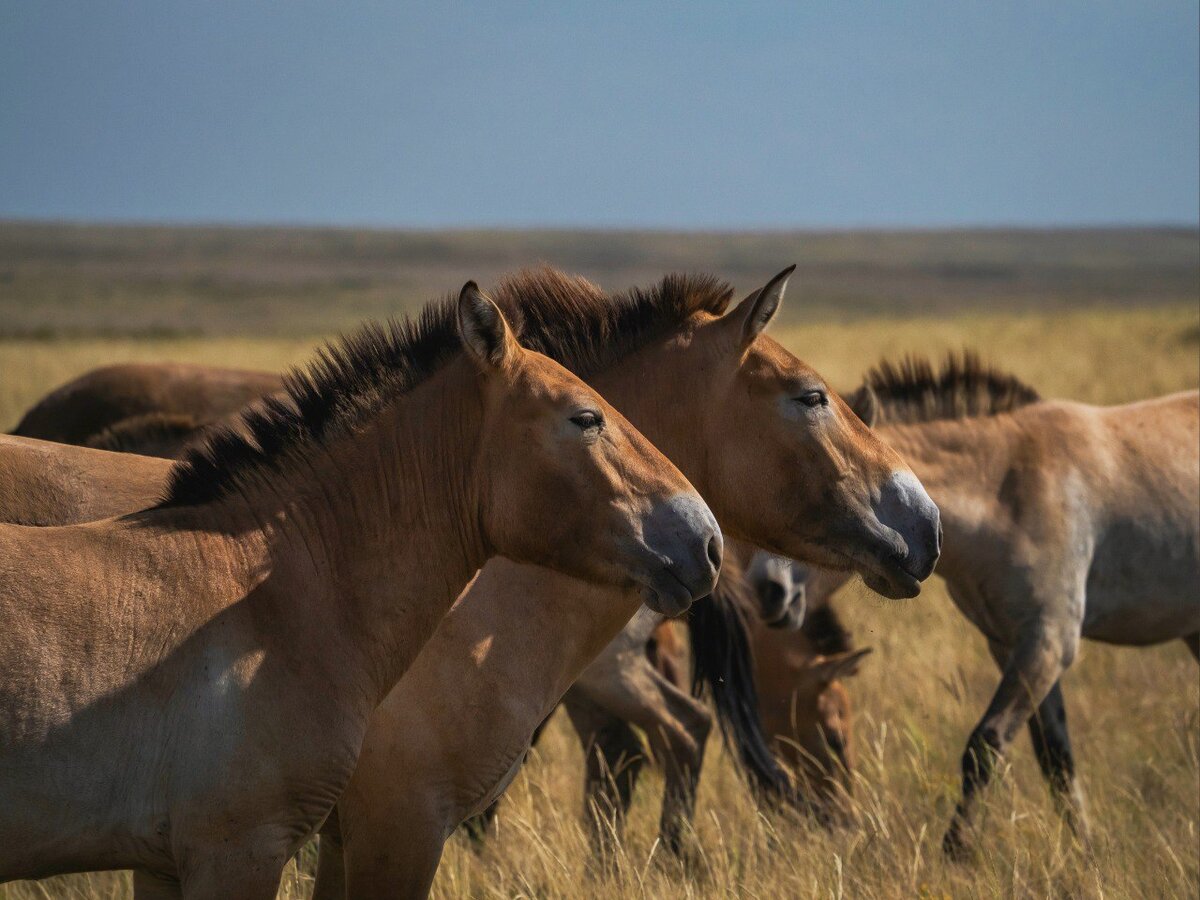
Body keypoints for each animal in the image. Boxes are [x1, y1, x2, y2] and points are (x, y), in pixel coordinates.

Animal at [772, 352, 1195, 859]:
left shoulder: (1048, 643)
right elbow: (1056, 759)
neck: (1007, 489)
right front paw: (1086, 851)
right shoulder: (1009, 644)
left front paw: (956, 851)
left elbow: (985, 743)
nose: (765, 589)